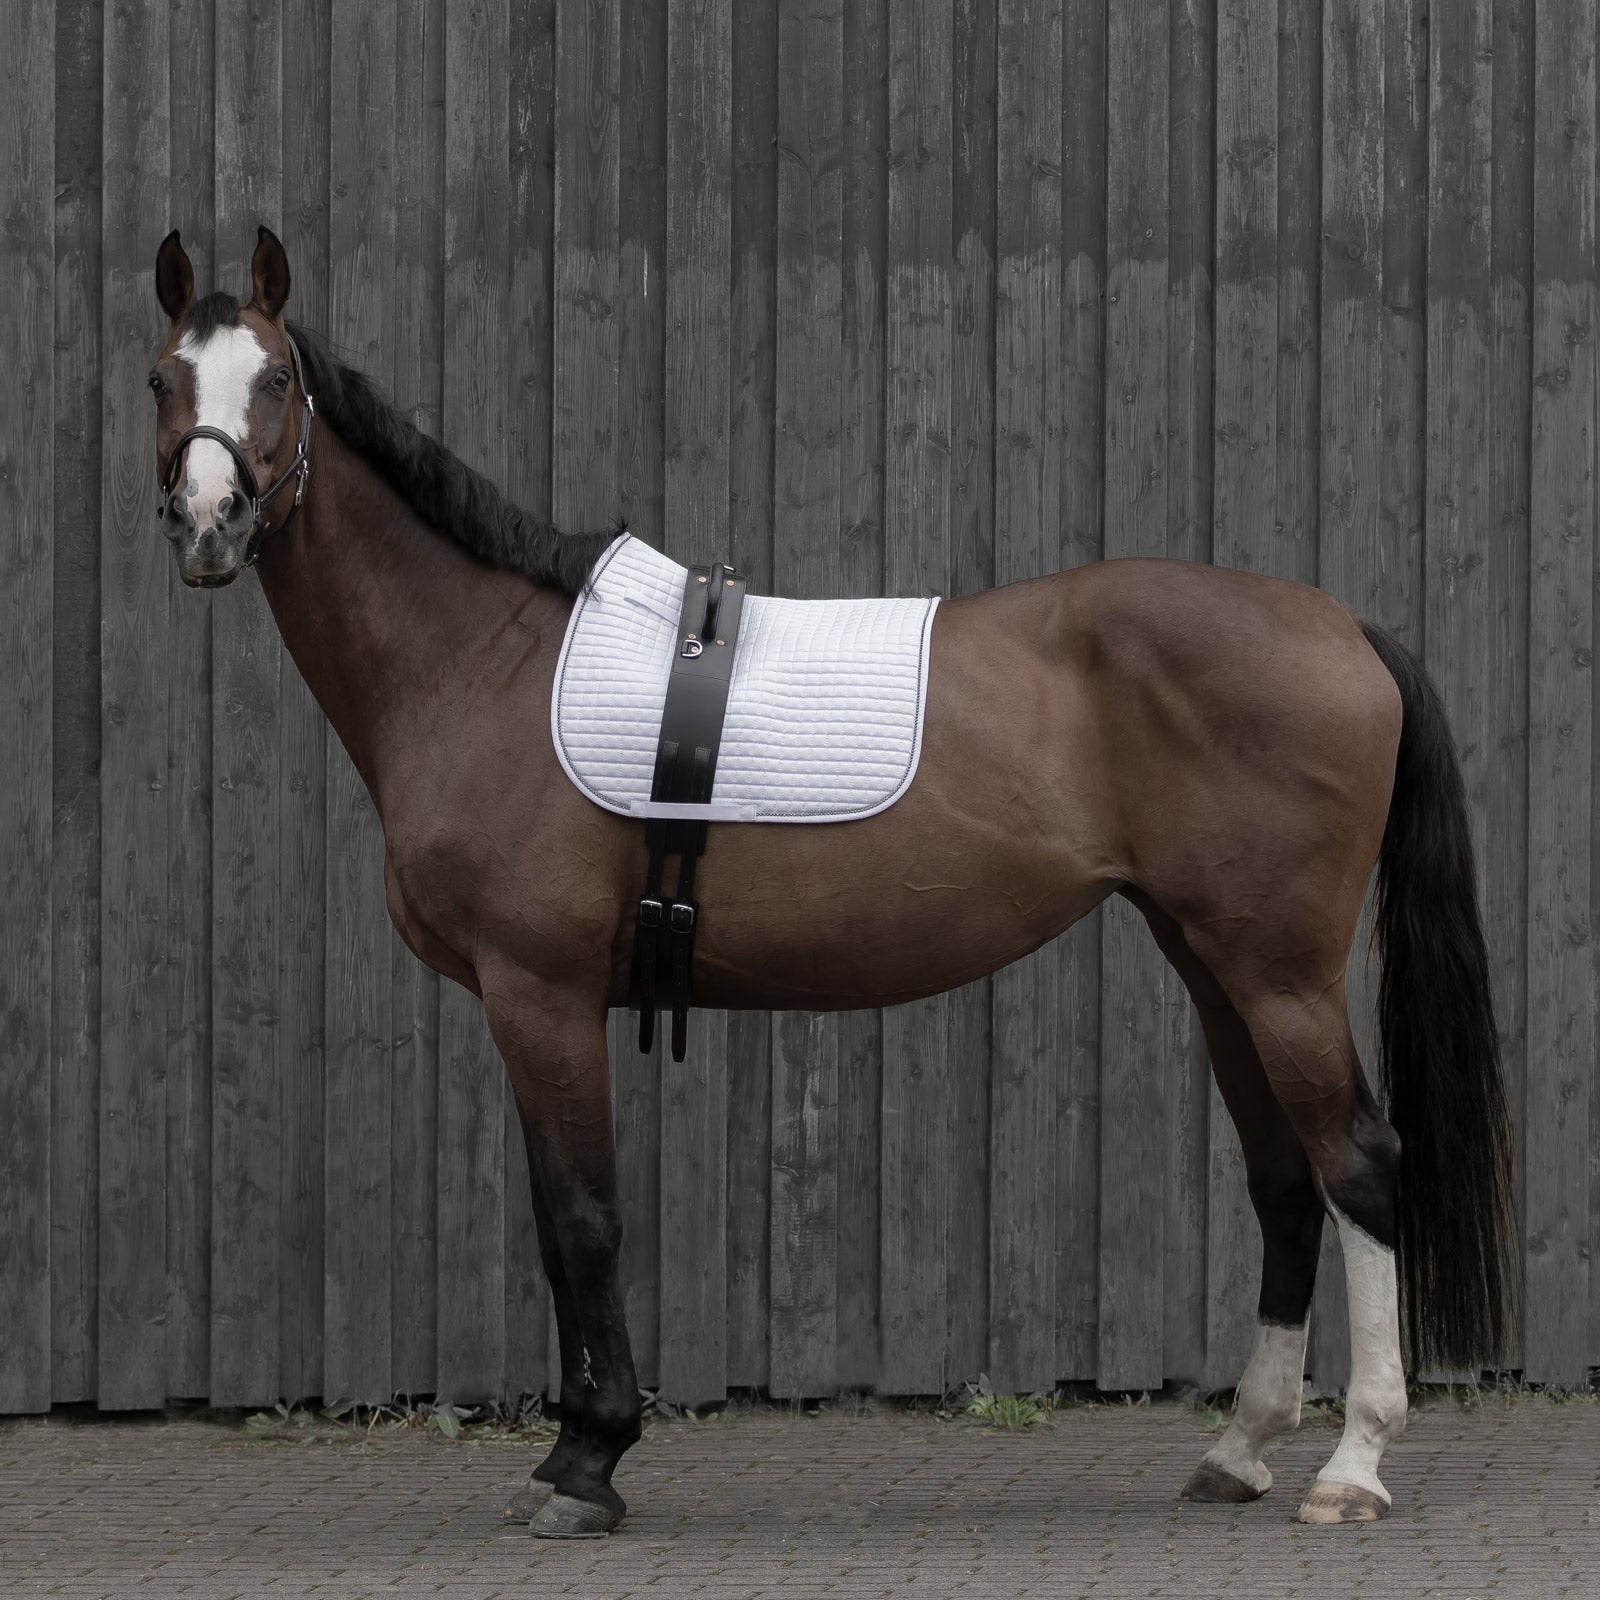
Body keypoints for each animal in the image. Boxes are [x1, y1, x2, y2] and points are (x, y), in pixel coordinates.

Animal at [146, 225, 1516, 1537]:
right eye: (164, 377)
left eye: (277, 379)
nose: (209, 525)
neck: (485, 656)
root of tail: (1343, 629)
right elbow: (560, 1220)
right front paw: (572, 1453)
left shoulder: (539, 993)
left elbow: (581, 1219)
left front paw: (587, 1463)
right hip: (1213, 956)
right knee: (1285, 1177)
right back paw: (1237, 1450)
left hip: (1281, 971)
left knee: (1358, 1165)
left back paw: (1353, 1463)